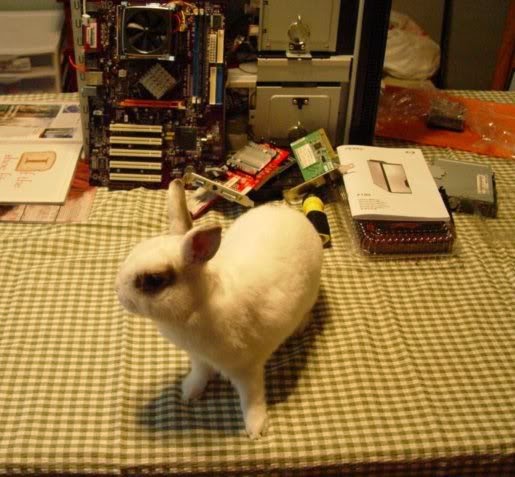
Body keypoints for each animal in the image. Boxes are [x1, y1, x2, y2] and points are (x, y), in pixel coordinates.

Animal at [116, 179, 322, 438]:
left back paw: (300, 328)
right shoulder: (199, 358)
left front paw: (256, 429)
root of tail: (295, 216)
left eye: (154, 280)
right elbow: (200, 374)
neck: (197, 307)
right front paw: (189, 393)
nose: (118, 292)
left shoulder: (247, 369)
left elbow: (251, 399)